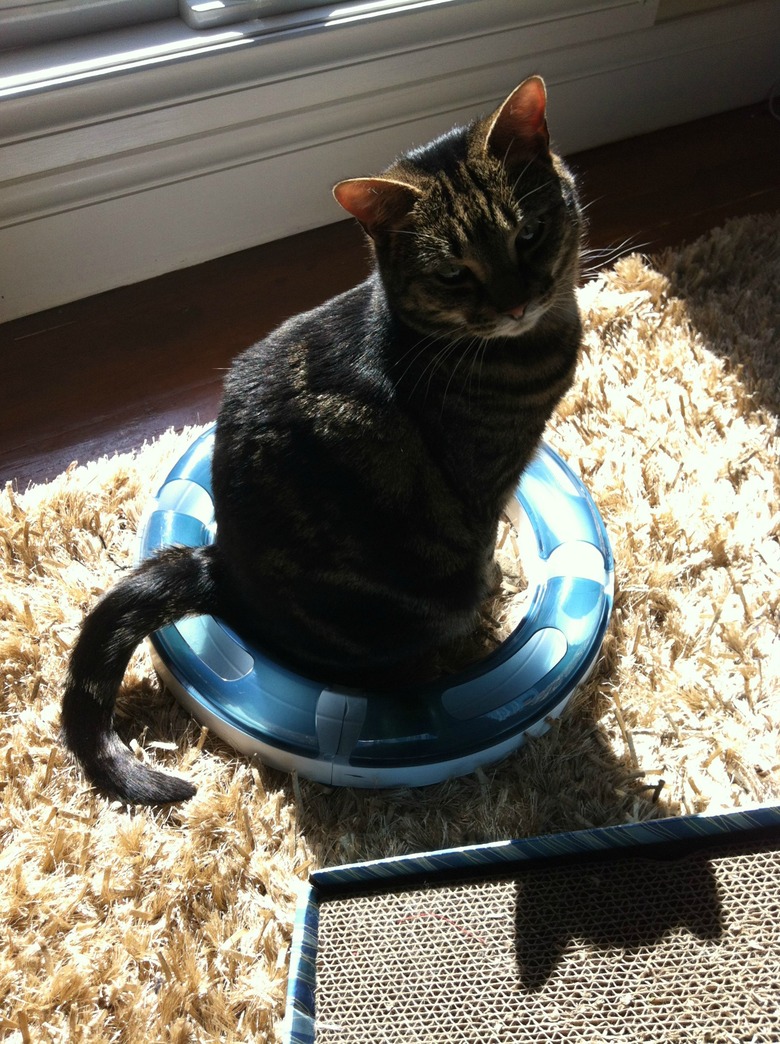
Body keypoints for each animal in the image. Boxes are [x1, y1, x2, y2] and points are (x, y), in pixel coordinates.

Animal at [61, 77, 584, 801]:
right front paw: (496, 579)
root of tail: (221, 566)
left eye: (529, 234)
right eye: (453, 273)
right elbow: (481, 547)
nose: (515, 304)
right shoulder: (483, 485)